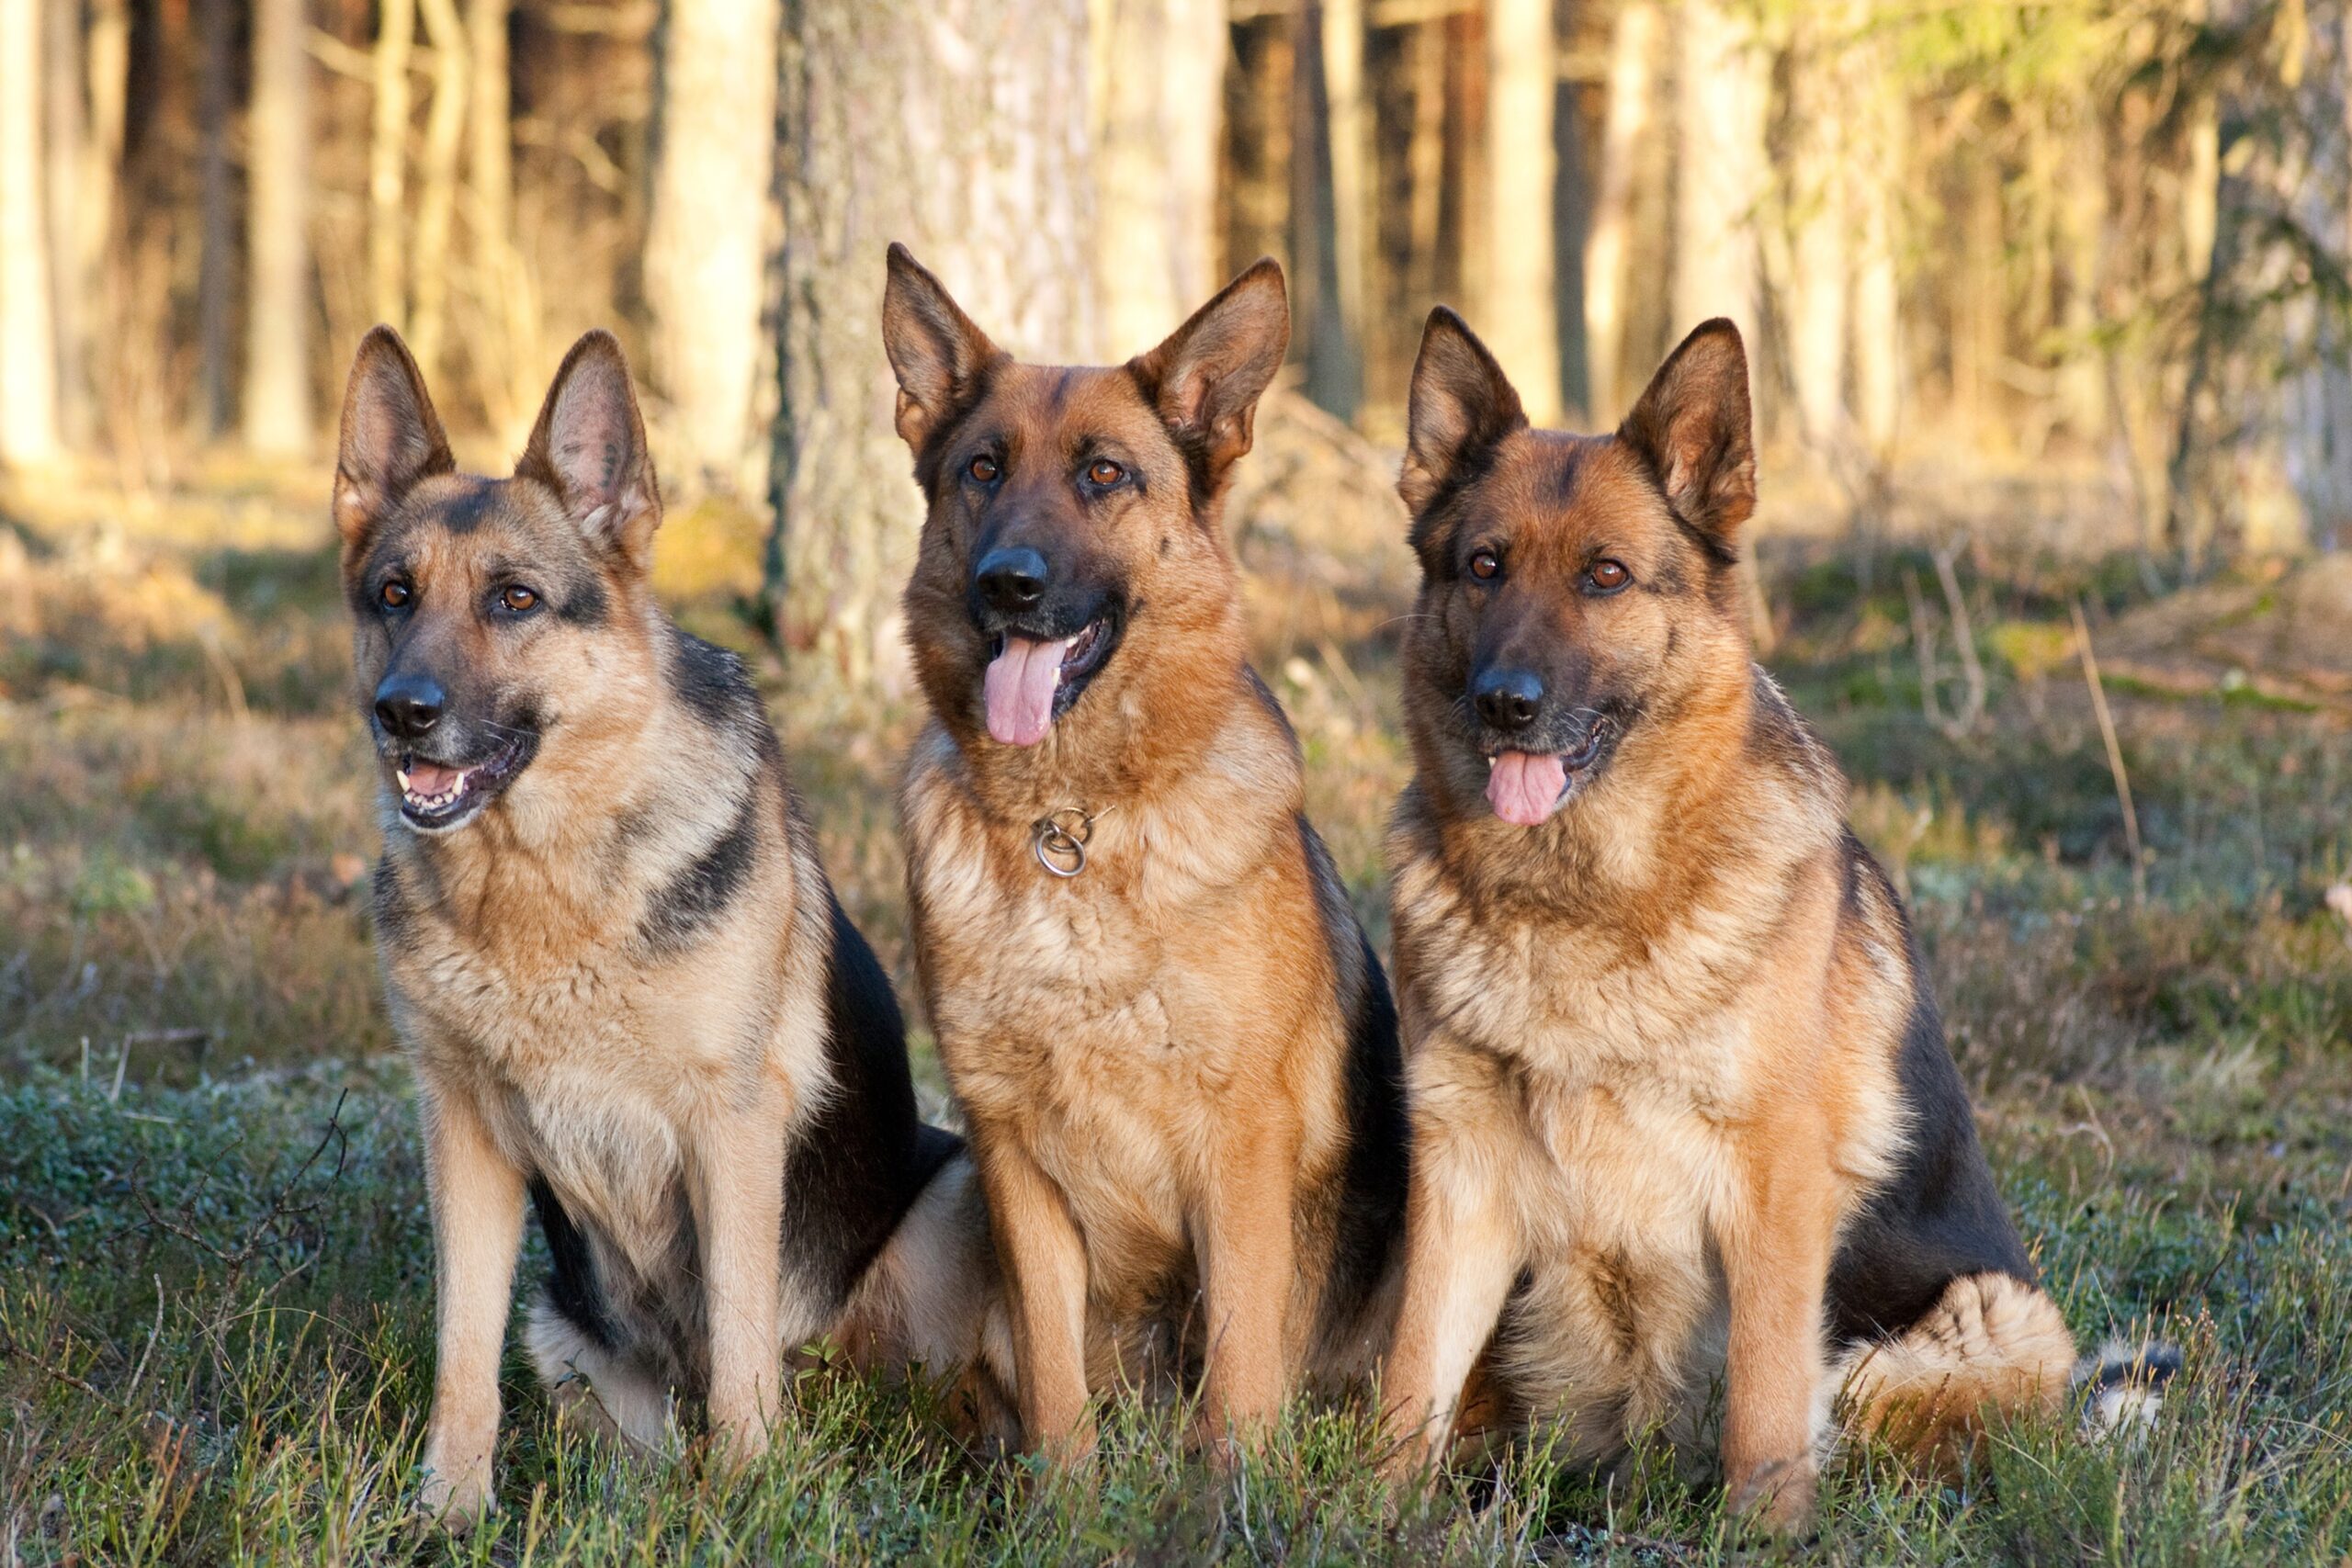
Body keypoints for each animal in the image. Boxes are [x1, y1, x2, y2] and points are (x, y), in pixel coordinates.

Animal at [336, 324, 997, 1523]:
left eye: (515, 600)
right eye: (394, 593)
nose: (401, 712)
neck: (541, 894)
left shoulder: (727, 1128)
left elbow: (738, 1332)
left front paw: (748, 1497)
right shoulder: (462, 1138)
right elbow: (461, 1351)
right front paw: (448, 1511)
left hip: (951, 1200)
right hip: (566, 1324)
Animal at [879, 247, 1392, 1476]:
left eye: (1105, 475)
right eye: (981, 470)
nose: (1008, 584)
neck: (1074, 824)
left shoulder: (1241, 1146)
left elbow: (1242, 1366)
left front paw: (1236, 1494)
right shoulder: (1006, 1148)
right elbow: (1050, 1366)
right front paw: (1061, 1494)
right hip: (947, 1196)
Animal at [1374, 314, 2164, 1532]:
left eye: (1606, 576)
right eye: (1482, 566)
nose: (1504, 703)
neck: (1582, 899)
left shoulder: (1773, 1181)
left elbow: (1760, 1393)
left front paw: (1761, 1532)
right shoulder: (1458, 1175)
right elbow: (1411, 1373)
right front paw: (1351, 1513)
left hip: (1955, 1330)